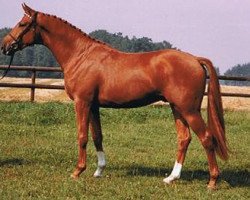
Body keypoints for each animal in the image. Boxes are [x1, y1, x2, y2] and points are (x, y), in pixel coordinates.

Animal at [1, 3, 229, 188]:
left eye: (22, 23)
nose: (5, 46)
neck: (81, 55)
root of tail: (195, 59)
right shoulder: (93, 105)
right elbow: (97, 136)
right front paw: (98, 170)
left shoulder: (82, 103)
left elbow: (82, 136)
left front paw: (77, 171)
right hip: (177, 108)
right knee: (184, 139)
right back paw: (171, 178)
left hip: (189, 109)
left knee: (206, 137)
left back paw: (212, 181)